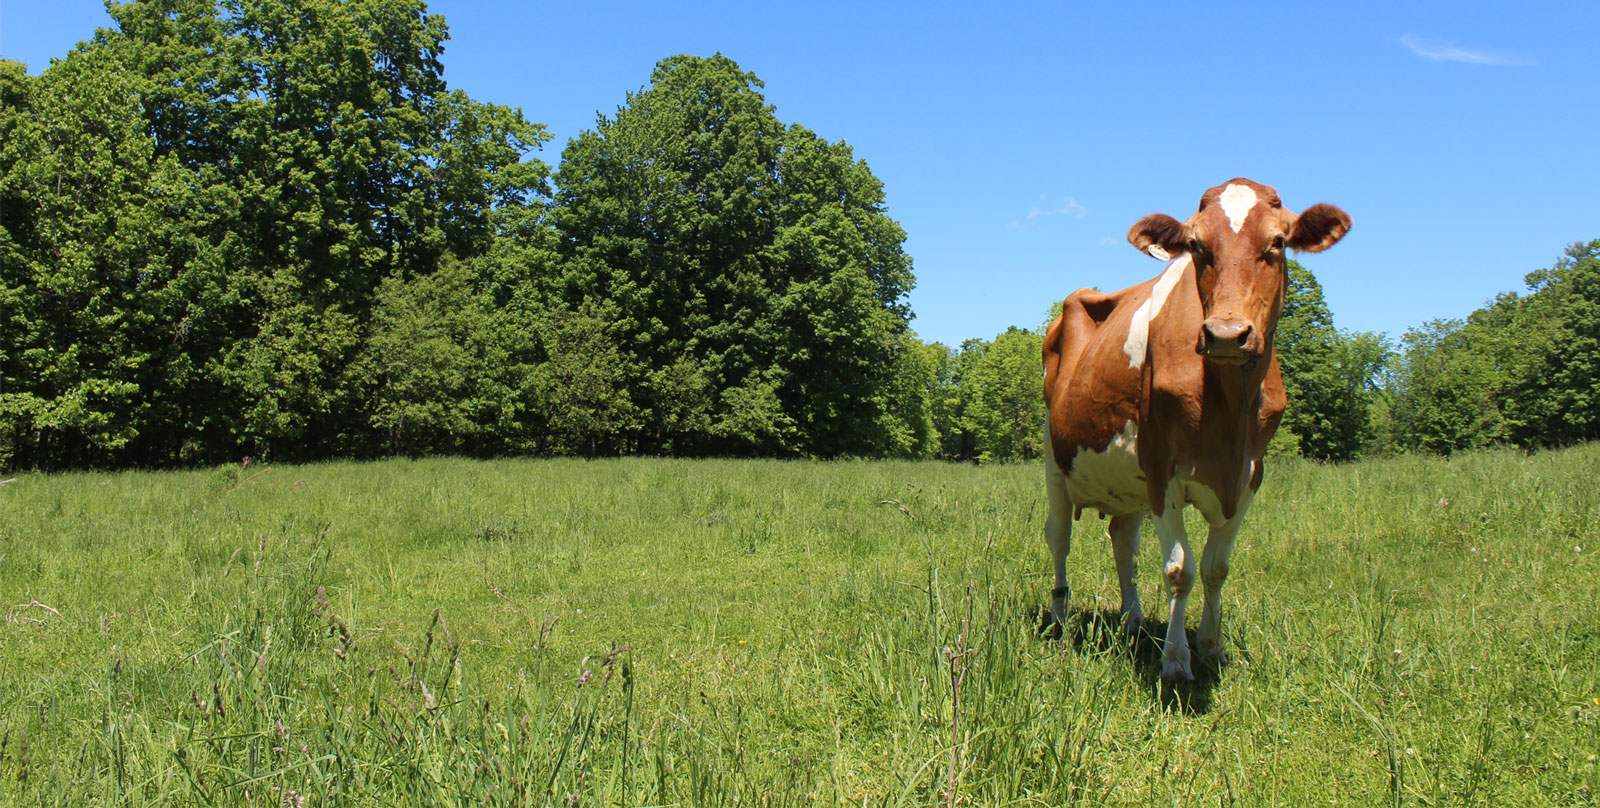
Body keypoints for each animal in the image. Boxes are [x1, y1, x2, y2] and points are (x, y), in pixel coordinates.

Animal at [1036, 179, 1350, 678]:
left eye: (1279, 243)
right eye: (1198, 246)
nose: (1226, 333)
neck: (1230, 410)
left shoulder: (1250, 475)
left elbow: (1215, 567)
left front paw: (1210, 645)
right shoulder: (1163, 469)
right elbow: (1179, 569)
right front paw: (1176, 660)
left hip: (1129, 481)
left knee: (1122, 540)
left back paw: (1132, 621)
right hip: (1054, 458)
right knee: (1059, 538)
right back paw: (1060, 618)